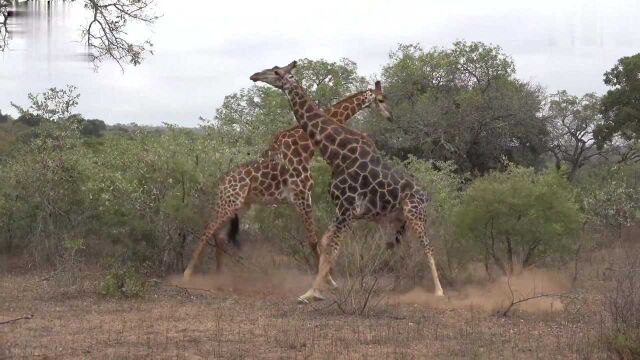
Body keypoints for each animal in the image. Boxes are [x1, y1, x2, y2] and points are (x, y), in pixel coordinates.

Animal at [182, 82, 392, 282]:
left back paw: (220, 273)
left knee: (219, 236)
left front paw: (327, 277)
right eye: (381, 99)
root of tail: (222, 181)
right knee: (207, 229)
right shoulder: (301, 194)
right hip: (229, 201)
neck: (307, 145)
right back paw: (187, 273)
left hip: (241, 206)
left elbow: (315, 239)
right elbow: (313, 240)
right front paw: (328, 279)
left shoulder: (303, 196)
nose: (389, 116)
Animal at [250, 60, 444, 302]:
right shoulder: (342, 209)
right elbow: (326, 244)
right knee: (405, 248)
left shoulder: (346, 208)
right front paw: (322, 287)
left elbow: (332, 247)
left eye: (276, 72)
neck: (336, 153)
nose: (255, 75)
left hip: (414, 215)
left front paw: (313, 292)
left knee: (427, 247)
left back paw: (438, 291)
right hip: (397, 220)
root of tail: (426, 197)